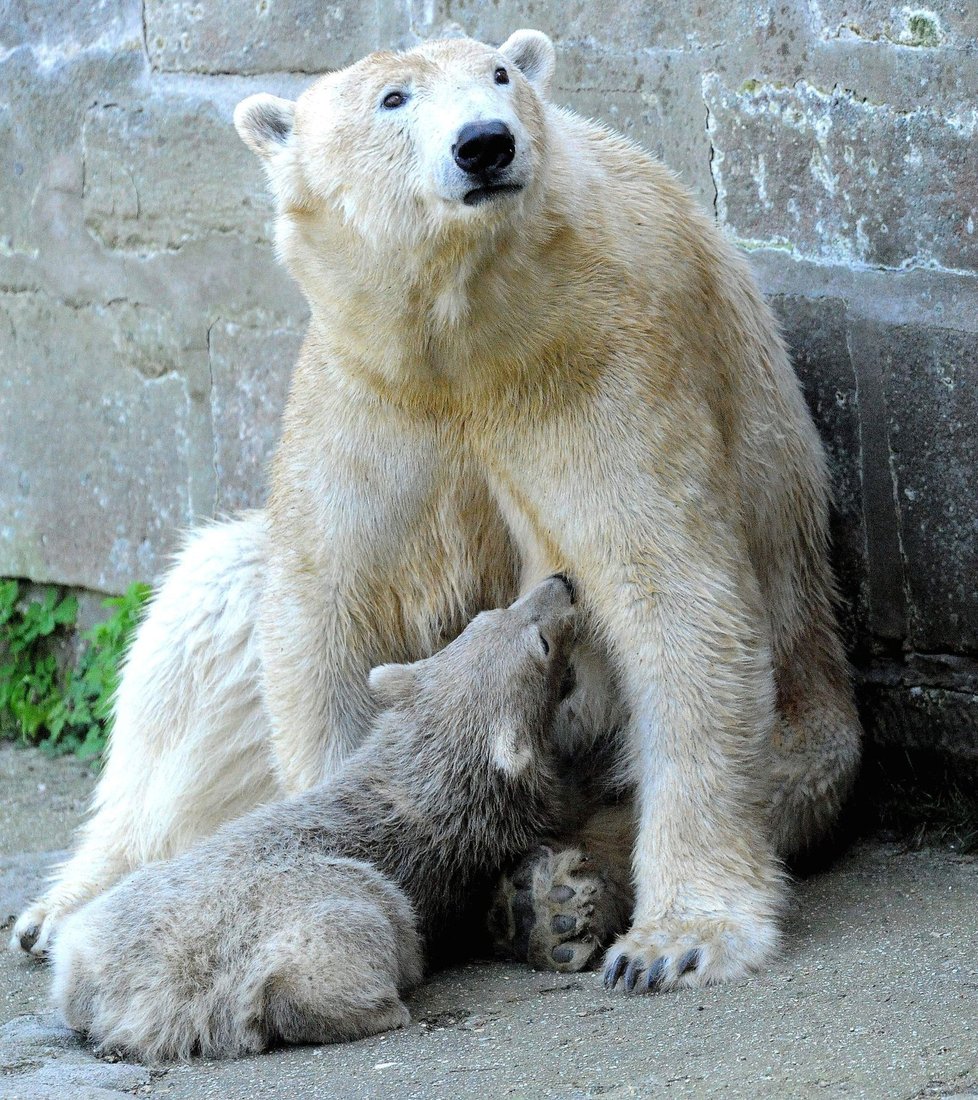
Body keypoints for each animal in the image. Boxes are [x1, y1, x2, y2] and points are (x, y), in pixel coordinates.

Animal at [11, 30, 858, 994]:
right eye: (393, 98)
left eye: (500, 74)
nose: (486, 143)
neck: (472, 324)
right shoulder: (368, 394)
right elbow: (325, 609)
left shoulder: (605, 366)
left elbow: (670, 596)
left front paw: (676, 939)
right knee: (207, 612)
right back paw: (68, 904)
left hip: (808, 737)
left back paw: (553, 895)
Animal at [51, 580, 572, 1060]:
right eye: (542, 643)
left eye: (490, 613)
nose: (561, 583)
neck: (428, 769)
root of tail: (141, 993)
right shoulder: (477, 850)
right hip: (275, 926)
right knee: (358, 931)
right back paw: (375, 1007)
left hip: (97, 932)